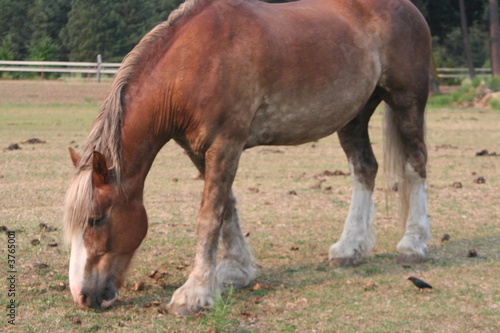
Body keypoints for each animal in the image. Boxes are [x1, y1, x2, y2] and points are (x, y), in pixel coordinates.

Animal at [62, 0, 432, 314]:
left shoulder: (226, 143)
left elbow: (209, 215)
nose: (83, 295)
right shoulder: (198, 149)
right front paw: (235, 272)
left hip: (406, 102)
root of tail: (408, 8)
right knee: (364, 169)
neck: (195, 60)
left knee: (415, 165)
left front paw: (195, 292)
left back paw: (413, 245)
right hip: (354, 116)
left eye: (96, 219)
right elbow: (227, 209)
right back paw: (350, 248)